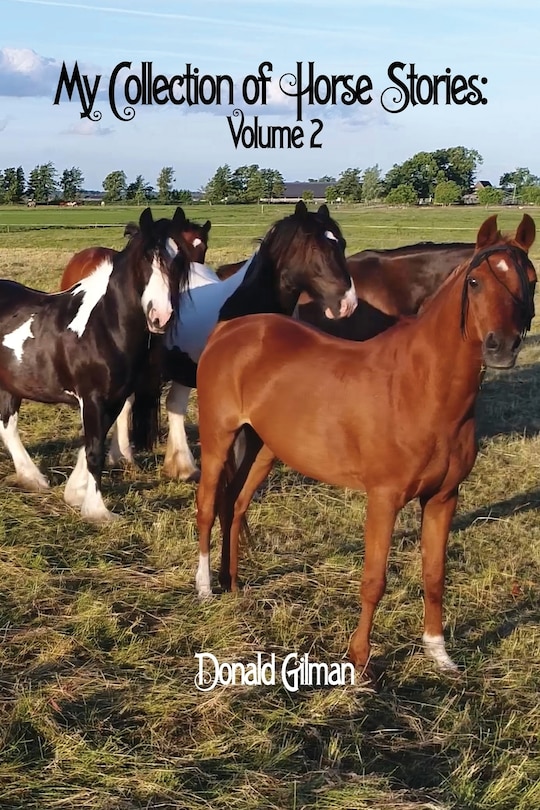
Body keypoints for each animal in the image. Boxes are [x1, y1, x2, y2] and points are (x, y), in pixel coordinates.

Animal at [0, 207, 191, 523]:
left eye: (179, 260)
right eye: (144, 260)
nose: (160, 317)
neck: (103, 325)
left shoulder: (115, 398)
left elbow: (93, 442)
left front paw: (75, 494)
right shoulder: (91, 398)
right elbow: (94, 451)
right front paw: (98, 510)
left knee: (8, 426)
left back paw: (32, 478)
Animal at [193, 214, 536, 681]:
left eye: (531, 280)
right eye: (476, 281)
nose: (501, 346)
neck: (421, 387)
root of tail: (233, 327)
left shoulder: (444, 498)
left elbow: (435, 575)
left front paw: (438, 652)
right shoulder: (384, 499)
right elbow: (374, 580)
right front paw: (359, 661)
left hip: (265, 448)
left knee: (236, 504)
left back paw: (231, 583)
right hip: (217, 440)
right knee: (208, 506)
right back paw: (205, 587)